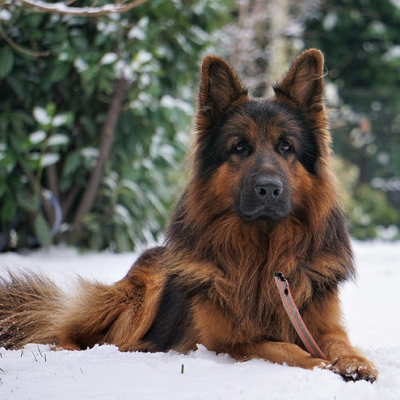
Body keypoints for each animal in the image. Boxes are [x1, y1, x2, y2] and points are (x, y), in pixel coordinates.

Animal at [0, 49, 376, 382]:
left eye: (287, 147)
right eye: (240, 147)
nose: (269, 189)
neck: (264, 254)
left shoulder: (322, 324)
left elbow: (340, 343)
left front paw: (355, 363)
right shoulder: (227, 342)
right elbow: (280, 347)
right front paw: (320, 365)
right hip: (140, 294)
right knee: (73, 332)